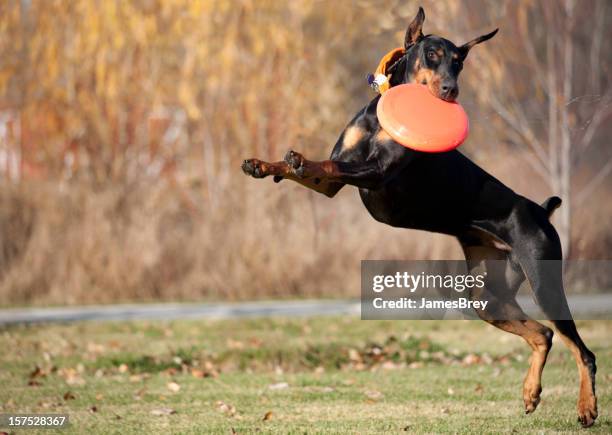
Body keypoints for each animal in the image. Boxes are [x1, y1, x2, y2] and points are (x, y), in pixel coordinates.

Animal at [240, 6, 596, 430]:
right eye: (433, 55)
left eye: (459, 62)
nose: (451, 90)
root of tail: (541, 211)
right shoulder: (333, 185)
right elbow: (316, 168)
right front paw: (263, 165)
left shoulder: (376, 172)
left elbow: (326, 164)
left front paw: (298, 159)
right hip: (486, 296)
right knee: (542, 334)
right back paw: (530, 393)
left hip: (543, 279)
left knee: (583, 351)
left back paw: (586, 408)